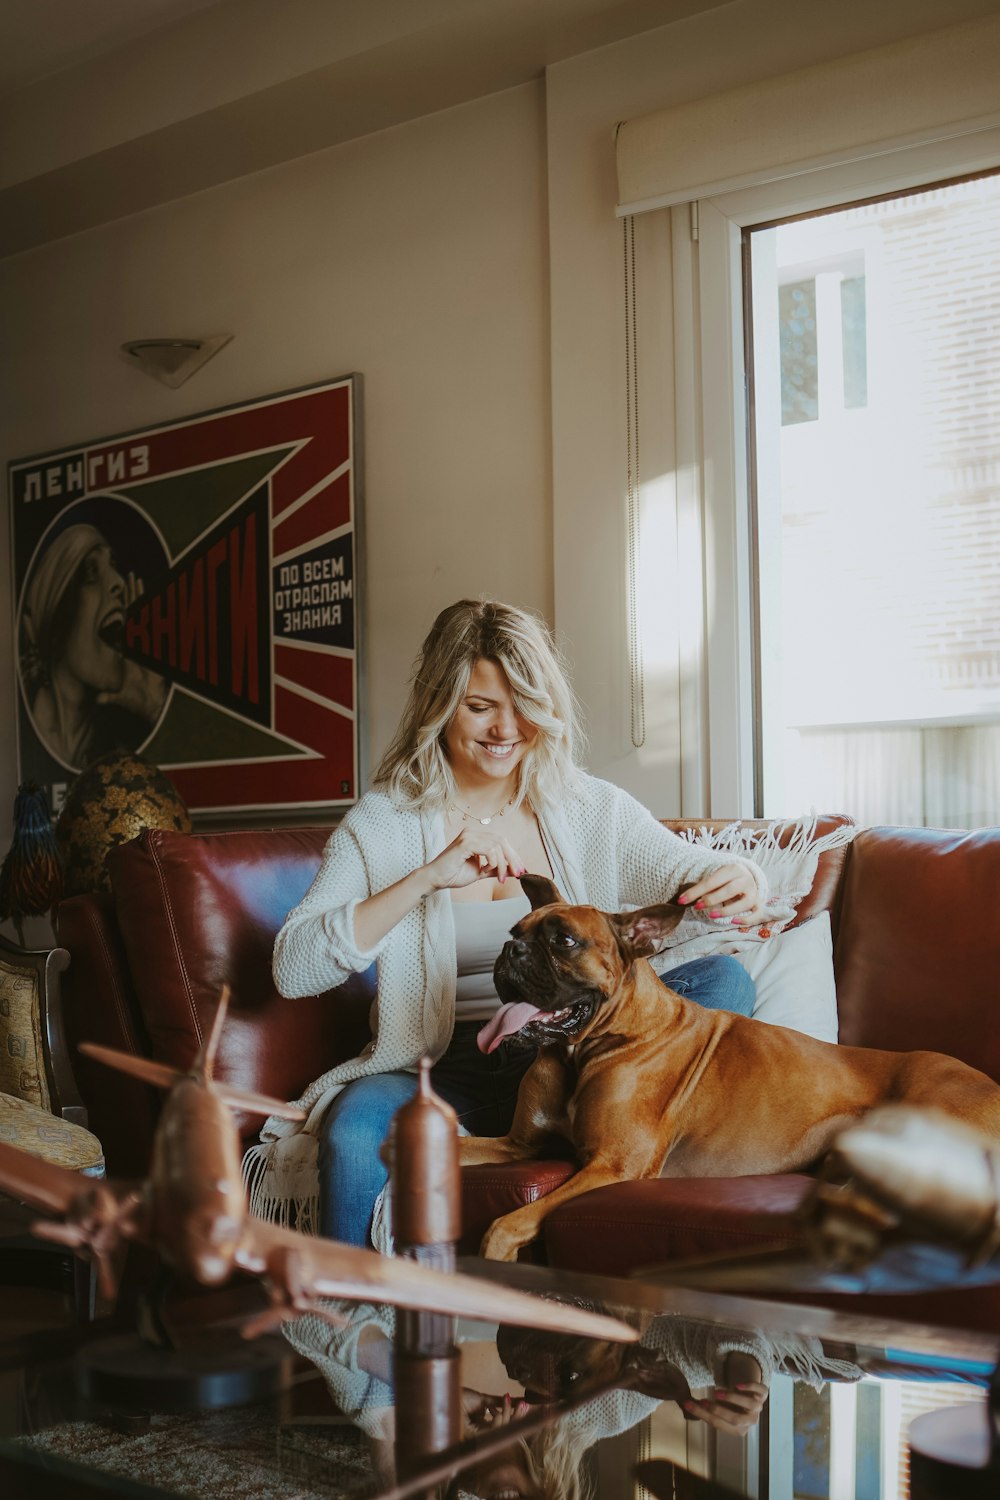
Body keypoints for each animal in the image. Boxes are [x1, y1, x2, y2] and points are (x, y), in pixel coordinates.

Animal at [458, 876, 1000, 1260]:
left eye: (564, 941)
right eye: (513, 934)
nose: (511, 951)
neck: (589, 1047)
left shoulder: (612, 1165)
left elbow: (509, 1222)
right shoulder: (517, 1147)